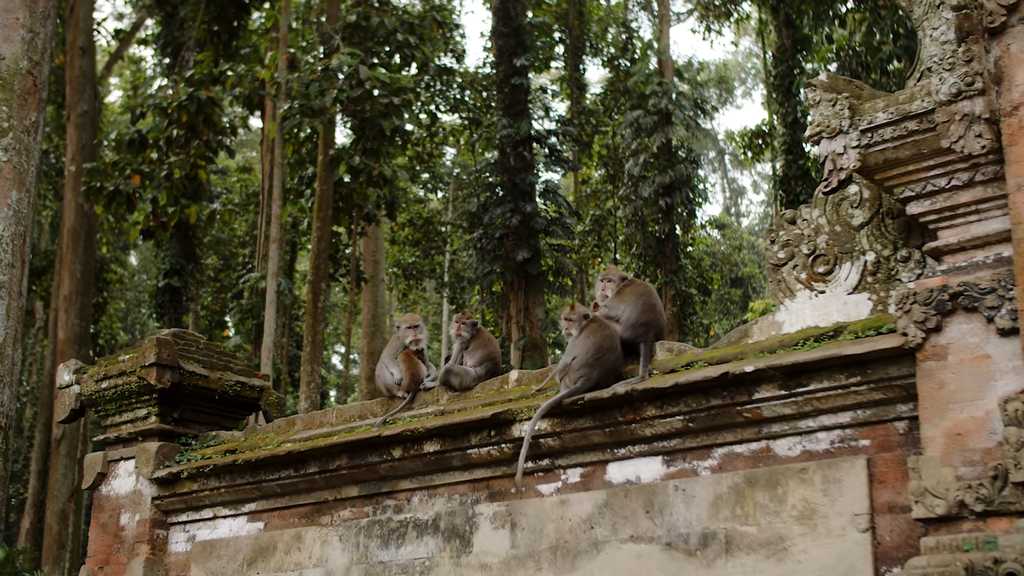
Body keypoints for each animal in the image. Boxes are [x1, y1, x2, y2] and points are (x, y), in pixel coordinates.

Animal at [514, 302, 624, 489]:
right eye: (565, 318)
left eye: (570, 320)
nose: (565, 328)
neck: (587, 323)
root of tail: (587, 379)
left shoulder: (573, 340)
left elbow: (561, 364)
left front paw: (538, 387)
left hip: (567, 379)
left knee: (564, 367)